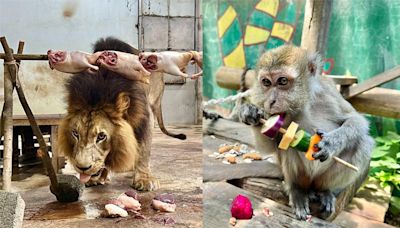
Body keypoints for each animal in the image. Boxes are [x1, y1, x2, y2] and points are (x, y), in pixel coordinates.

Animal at [58, 37, 159, 191]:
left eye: (101, 136)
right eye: (75, 133)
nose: (82, 168)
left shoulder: (146, 117)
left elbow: (143, 150)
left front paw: (144, 179)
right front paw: (97, 178)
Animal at [239, 45, 374, 221]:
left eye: (282, 81)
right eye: (266, 82)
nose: (270, 102)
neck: (303, 104)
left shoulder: (328, 91)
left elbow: (356, 120)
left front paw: (331, 143)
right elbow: (268, 146)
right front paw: (250, 112)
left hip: (319, 178)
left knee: (363, 142)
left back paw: (325, 191)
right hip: (302, 176)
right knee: (287, 144)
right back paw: (297, 189)